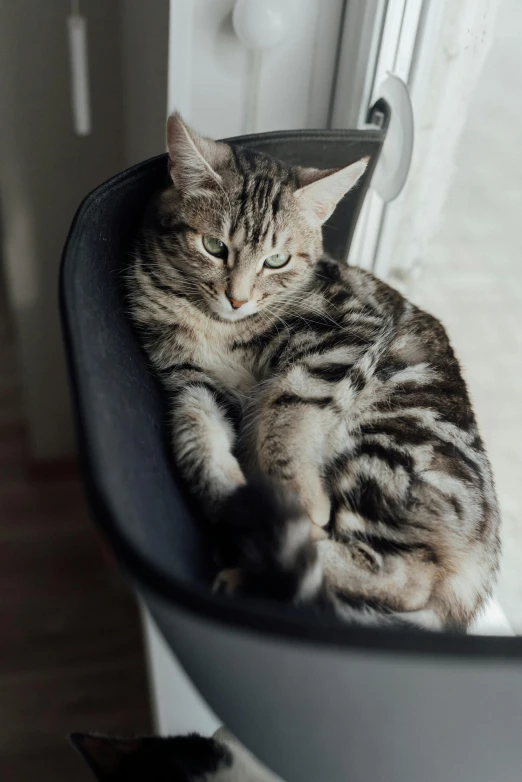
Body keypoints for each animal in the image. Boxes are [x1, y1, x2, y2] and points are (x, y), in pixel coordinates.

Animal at [128, 113, 498, 632]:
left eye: (277, 260)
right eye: (214, 246)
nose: (237, 298)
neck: (218, 325)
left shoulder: (344, 336)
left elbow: (288, 409)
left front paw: (298, 497)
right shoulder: (190, 381)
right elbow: (196, 440)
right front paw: (234, 499)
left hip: (387, 444)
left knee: (405, 576)